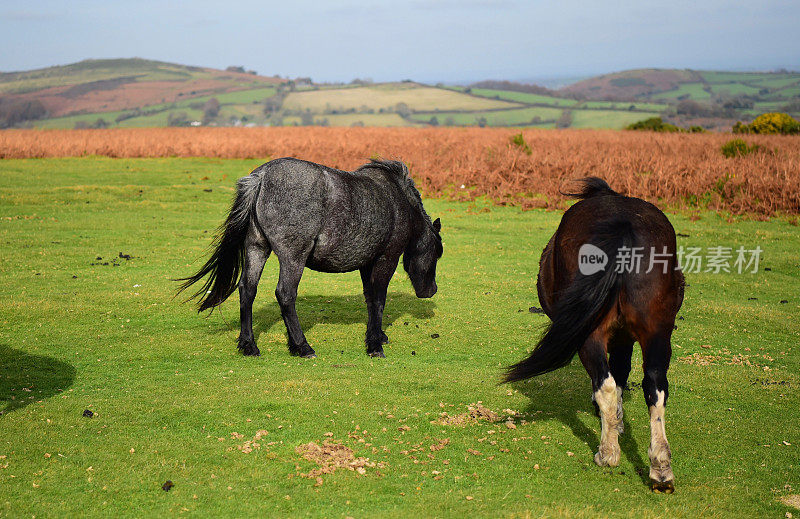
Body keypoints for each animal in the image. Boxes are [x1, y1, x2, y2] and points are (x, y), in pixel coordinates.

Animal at [506, 177, 680, 494]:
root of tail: (624, 225)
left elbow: (616, 378)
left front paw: (613, 424)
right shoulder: (625, 337)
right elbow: (623, 372)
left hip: (591, 334)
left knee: (606, 384)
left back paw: (608, 453)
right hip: (657, 333)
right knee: (656, 386)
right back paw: (660, 467)